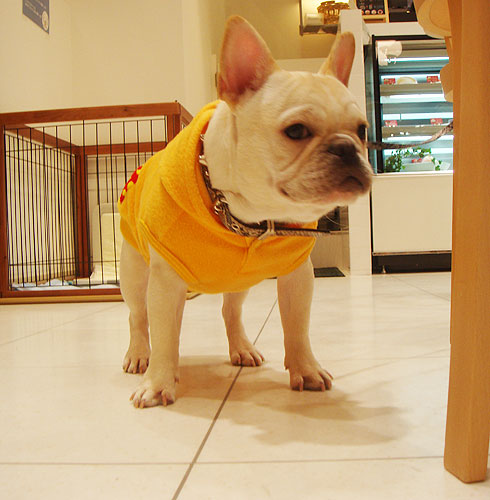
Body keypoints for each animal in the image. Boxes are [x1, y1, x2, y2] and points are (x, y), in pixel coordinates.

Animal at [118, 16, 372, 407]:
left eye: (361, 130)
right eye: (296, 131)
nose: (346, 148)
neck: (249, 218)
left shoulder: (298, 276)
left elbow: (297, 327)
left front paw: (306, 369)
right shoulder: (164, 282)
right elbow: (163, 335)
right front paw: (158, 382)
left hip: (240, 282)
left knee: (230, 311)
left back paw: (241, 348)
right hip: (134, 274)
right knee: (138, 317)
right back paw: (138, 355)